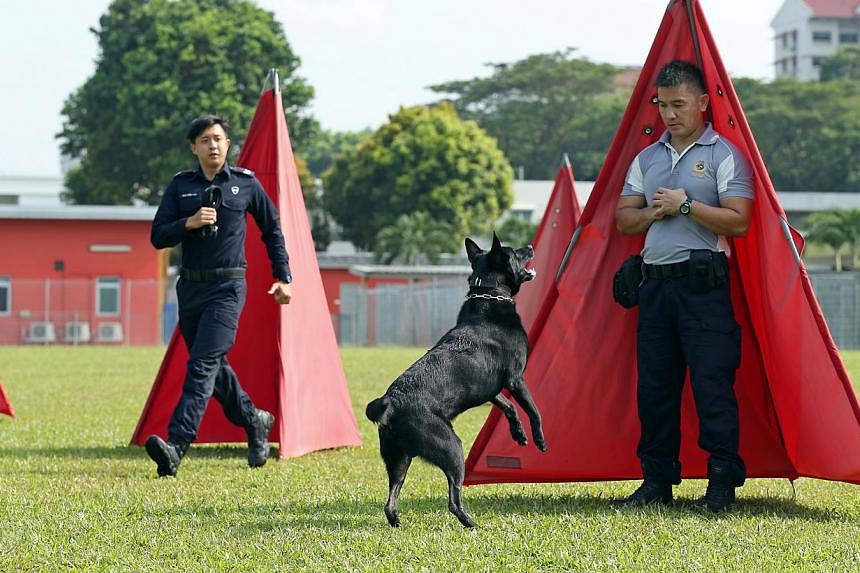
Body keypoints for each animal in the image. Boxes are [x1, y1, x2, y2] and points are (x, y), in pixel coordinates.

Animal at [366, 233, 548, 528]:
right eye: (514, 253)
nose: (530, 247)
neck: (489, 293)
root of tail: (390, 403)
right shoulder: (515, 379)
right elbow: (533, 410)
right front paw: (539, 440)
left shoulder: (491, 388)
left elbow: (508, 407)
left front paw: (518, 433)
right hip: (451, 448)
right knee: (453, 498)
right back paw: (471, 524)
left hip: (399, 459)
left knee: (391, 500)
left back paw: (397, 522)